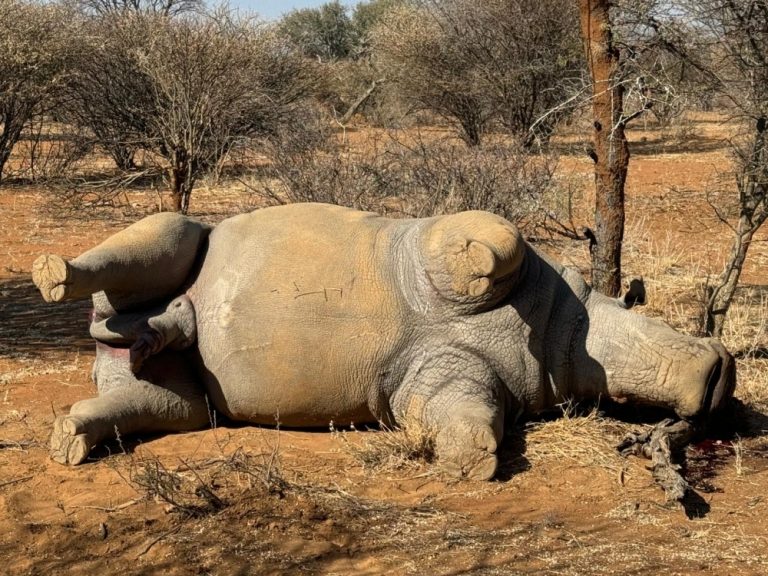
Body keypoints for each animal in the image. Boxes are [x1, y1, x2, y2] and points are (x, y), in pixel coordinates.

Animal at [33, 202, 736, 476]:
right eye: (658, 324)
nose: (718, 376)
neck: (572, 325)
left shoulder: (438, 377)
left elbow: (464, 420)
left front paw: (468, 463)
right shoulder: (457, 244)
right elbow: (491, 242)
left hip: (165, 383)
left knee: (167, 403)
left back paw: (76, 431)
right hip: (172, 248)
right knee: (171, 234)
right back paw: (54, 274)